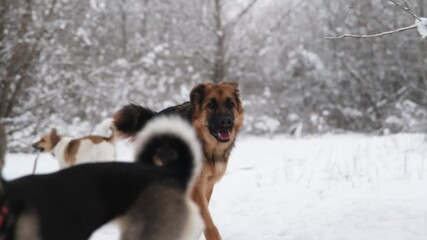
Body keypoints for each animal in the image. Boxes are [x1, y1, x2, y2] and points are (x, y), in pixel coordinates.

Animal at [113, 81, 244, 239]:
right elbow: (208, 222)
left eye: (230, 104)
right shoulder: (196, 186)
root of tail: (153, 118)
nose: (226, 122)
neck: (205, 143)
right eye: (211, 105)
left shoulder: (207, 184)